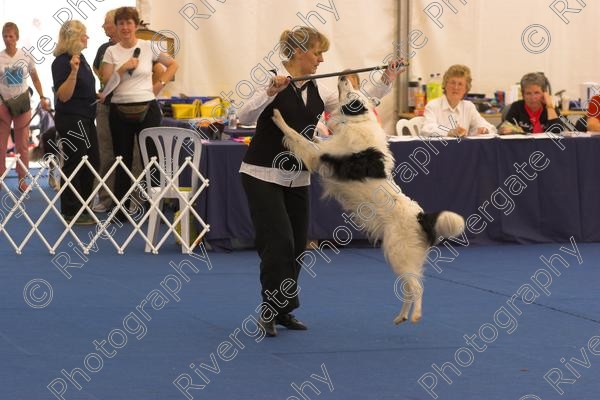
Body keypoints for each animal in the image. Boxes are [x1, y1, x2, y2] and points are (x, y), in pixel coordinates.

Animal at [274, 76, 466, 324]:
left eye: (350, 94)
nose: (343, 76)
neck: (358, 120)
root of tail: (421, 217)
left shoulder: (317, 155)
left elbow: (297, 135)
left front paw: (277, 117)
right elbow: (308, 137)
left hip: (398, 253)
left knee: (417, 287)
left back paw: (415, 315)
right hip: (401, 256)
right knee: (408, 287)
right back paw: (401, 317)